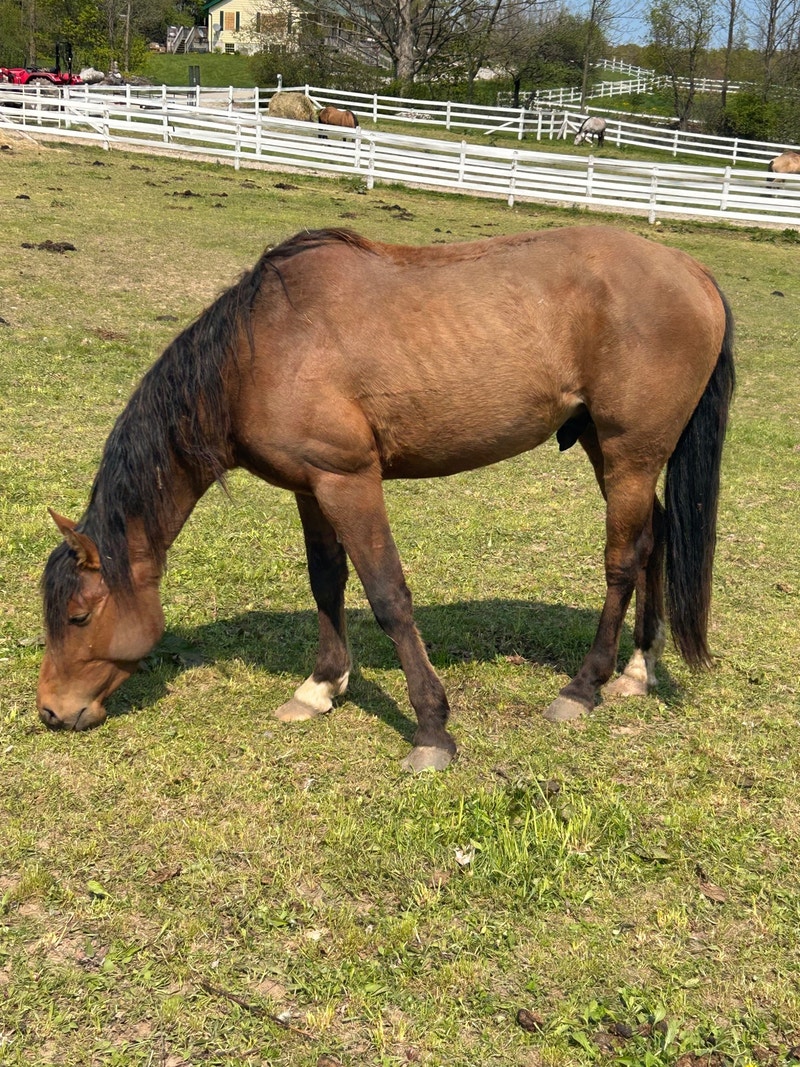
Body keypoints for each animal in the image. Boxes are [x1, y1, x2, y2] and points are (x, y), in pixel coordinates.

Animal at [37, 226, 735, 773]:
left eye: (79, 616)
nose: (50, 712)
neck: (261, 349)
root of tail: (693, 270)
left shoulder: (350, 481)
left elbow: (388, 596)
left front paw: (431, 729)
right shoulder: (312, 487)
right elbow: (327, 582)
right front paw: (320, 687)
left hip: (629, 452)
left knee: (623, 561)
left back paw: (585, 686)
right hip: (613, 450)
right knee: (655, 539)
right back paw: (639, 670)